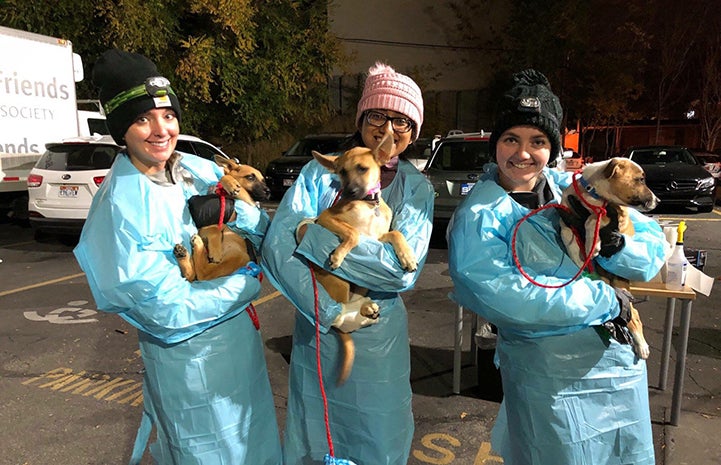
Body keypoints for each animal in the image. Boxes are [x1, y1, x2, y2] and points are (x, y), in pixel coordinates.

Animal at [556, 158, 660, 358]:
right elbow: (567, 232)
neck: (594, 195)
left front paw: (593, 243)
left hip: (620, 282)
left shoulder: (615, 214)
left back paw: (642, 346)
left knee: (634, 315)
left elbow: (591, 220)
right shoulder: (565, 215)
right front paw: (578, 255)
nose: (657, 201)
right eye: (640, 179)